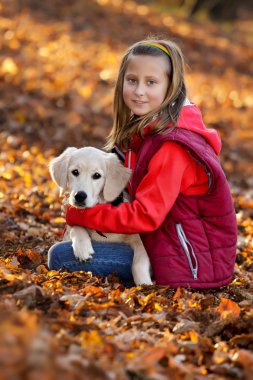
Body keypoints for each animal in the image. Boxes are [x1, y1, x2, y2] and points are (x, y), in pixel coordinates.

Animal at [49, 146, 152, 284]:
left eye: (97, 175)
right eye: (75, 172)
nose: (79, 196)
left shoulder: (138, 238)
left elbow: (139, 261)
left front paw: (145, 283)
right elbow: (75, 227)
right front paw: (82, 247)